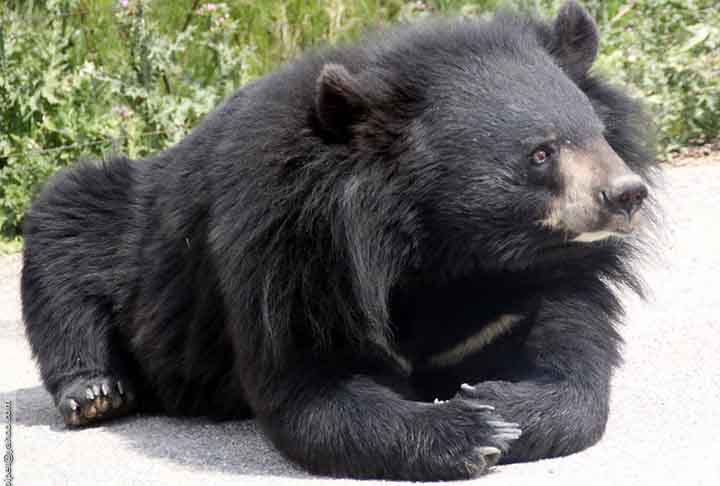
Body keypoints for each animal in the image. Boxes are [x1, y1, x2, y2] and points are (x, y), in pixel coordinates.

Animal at [21, 1, 658, 481]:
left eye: (597, 135)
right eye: (540, 154)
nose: (626, 194)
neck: (450, 248)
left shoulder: (547, 276)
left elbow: (574, 364)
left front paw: (499, 401)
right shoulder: (294, 259)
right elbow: (311, 391)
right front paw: (472, 430)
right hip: (126, 225)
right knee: (65, 232)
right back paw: (95, 391)